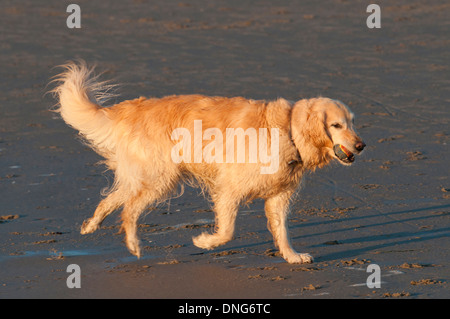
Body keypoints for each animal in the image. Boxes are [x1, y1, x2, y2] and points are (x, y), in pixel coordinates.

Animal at [51, 61, 366, 264]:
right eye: (336, 125)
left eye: (352, 122)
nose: (361, 146)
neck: (288, 130)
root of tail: (132, 108)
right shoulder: (229, 189)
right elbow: (226, 232)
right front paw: (203, 241)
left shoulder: (278, 196)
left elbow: (282, 231)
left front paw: (292, 256)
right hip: (161, 178)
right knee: (129, 210)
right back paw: (134, 246)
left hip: (148, 176)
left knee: (113, 200)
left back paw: (91, 226)